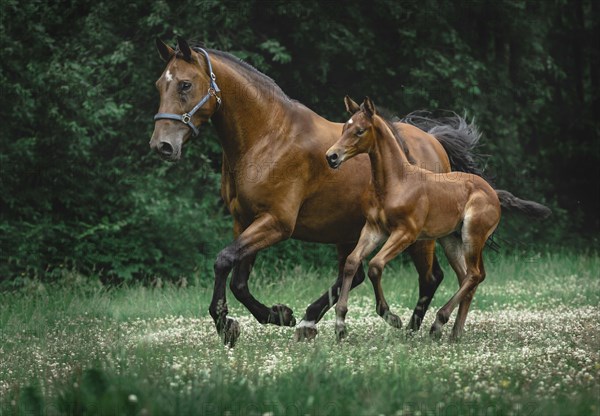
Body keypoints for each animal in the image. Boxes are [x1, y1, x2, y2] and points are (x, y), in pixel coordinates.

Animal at [326, 97, 500, 342]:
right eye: (344, 128)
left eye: (360, 130)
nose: (331, 156)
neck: (396, 182)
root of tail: (493, 194)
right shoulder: (373, 229)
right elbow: (352, 262)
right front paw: (340, 324)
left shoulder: (406, 233)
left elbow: (375, 266)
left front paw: (392, 317)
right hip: (451, 240)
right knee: (467, 277)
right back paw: (455, 333)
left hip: (472, 235)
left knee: (475, 275)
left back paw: (438, 323)